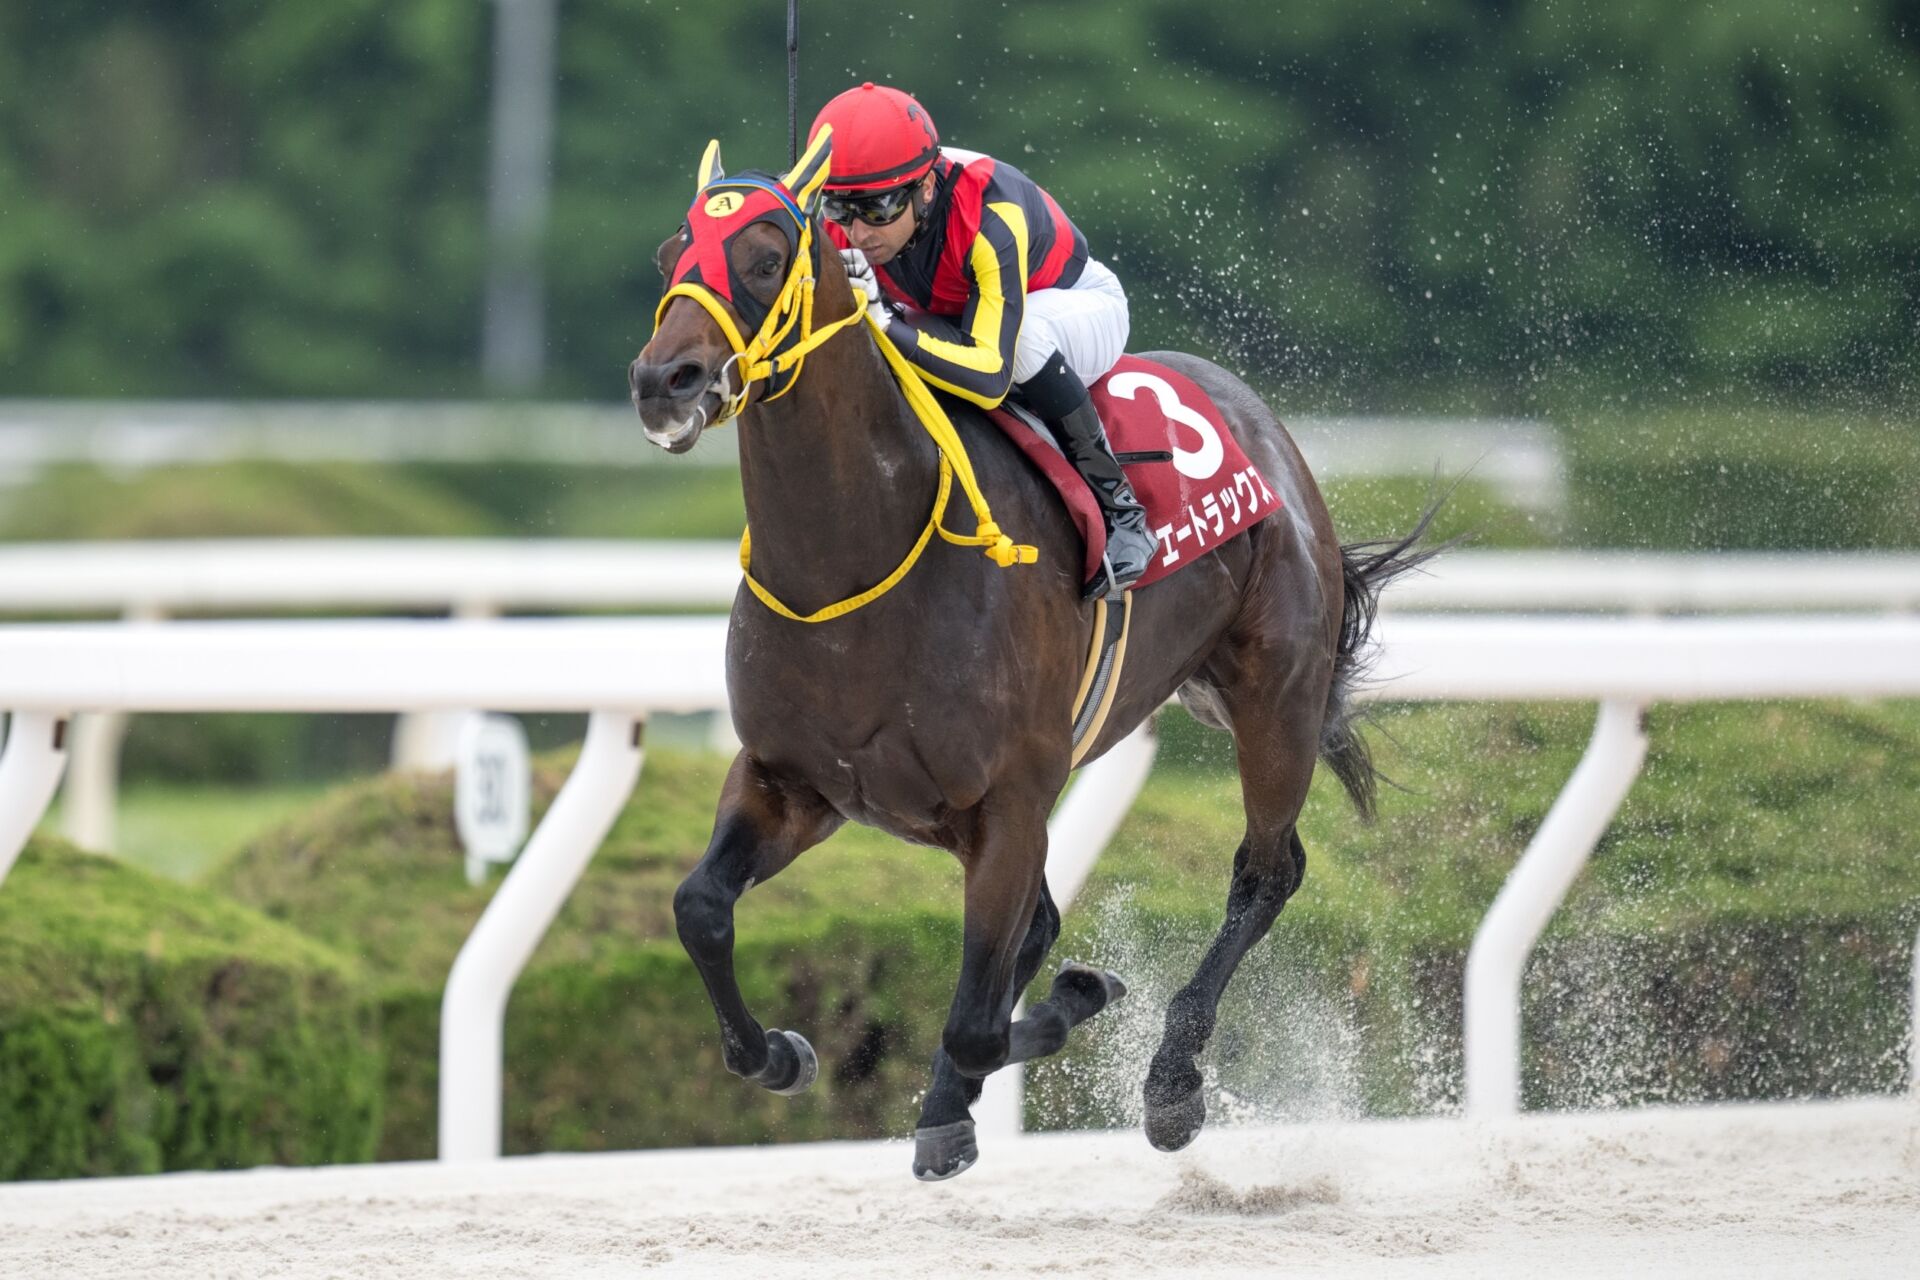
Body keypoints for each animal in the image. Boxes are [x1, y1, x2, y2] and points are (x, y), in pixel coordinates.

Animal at [622, 132, 1436, 1182]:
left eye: (765, 259)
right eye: (670, 256)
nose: (663, 382)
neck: (855, 560)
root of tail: (1264, 426)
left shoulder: (1008, 800)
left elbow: (977, 1020)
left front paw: (1058, 1017)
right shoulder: (791, 781)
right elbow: (700, 908)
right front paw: (783, 1054)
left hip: (1275, 700)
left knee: (1265, 872)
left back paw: (1171, 1082)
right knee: (1050, 921)